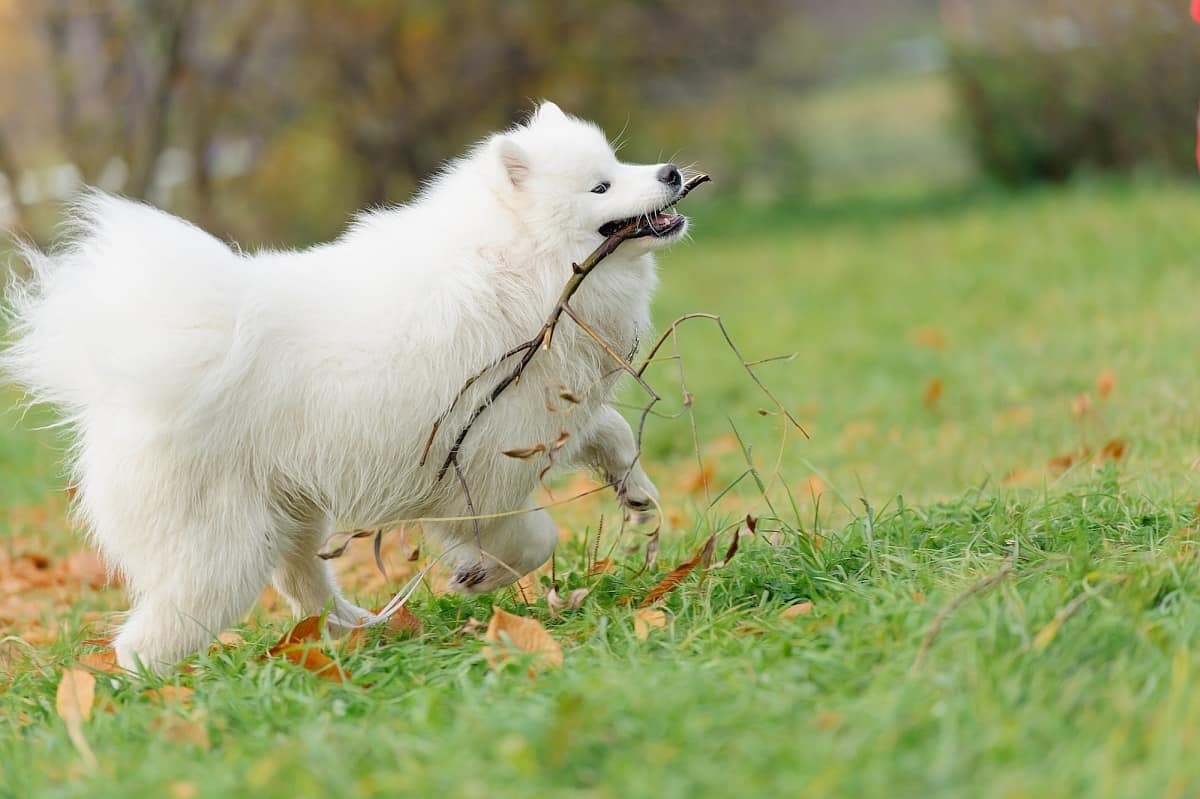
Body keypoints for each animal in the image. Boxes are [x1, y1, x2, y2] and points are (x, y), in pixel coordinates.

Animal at [2, 101, 696, 671]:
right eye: (601, 185)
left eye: (619, 163)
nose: (668, 172)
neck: (518, 268)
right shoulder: (480, 472)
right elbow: (531, 536)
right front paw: (478, 576)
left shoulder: (553, 413)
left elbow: (611, 434)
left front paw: (637, 496)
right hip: (219, 553)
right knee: (154, 635)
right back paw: (146, 691)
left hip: (290, 512)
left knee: (303, 585)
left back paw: (360, 631)